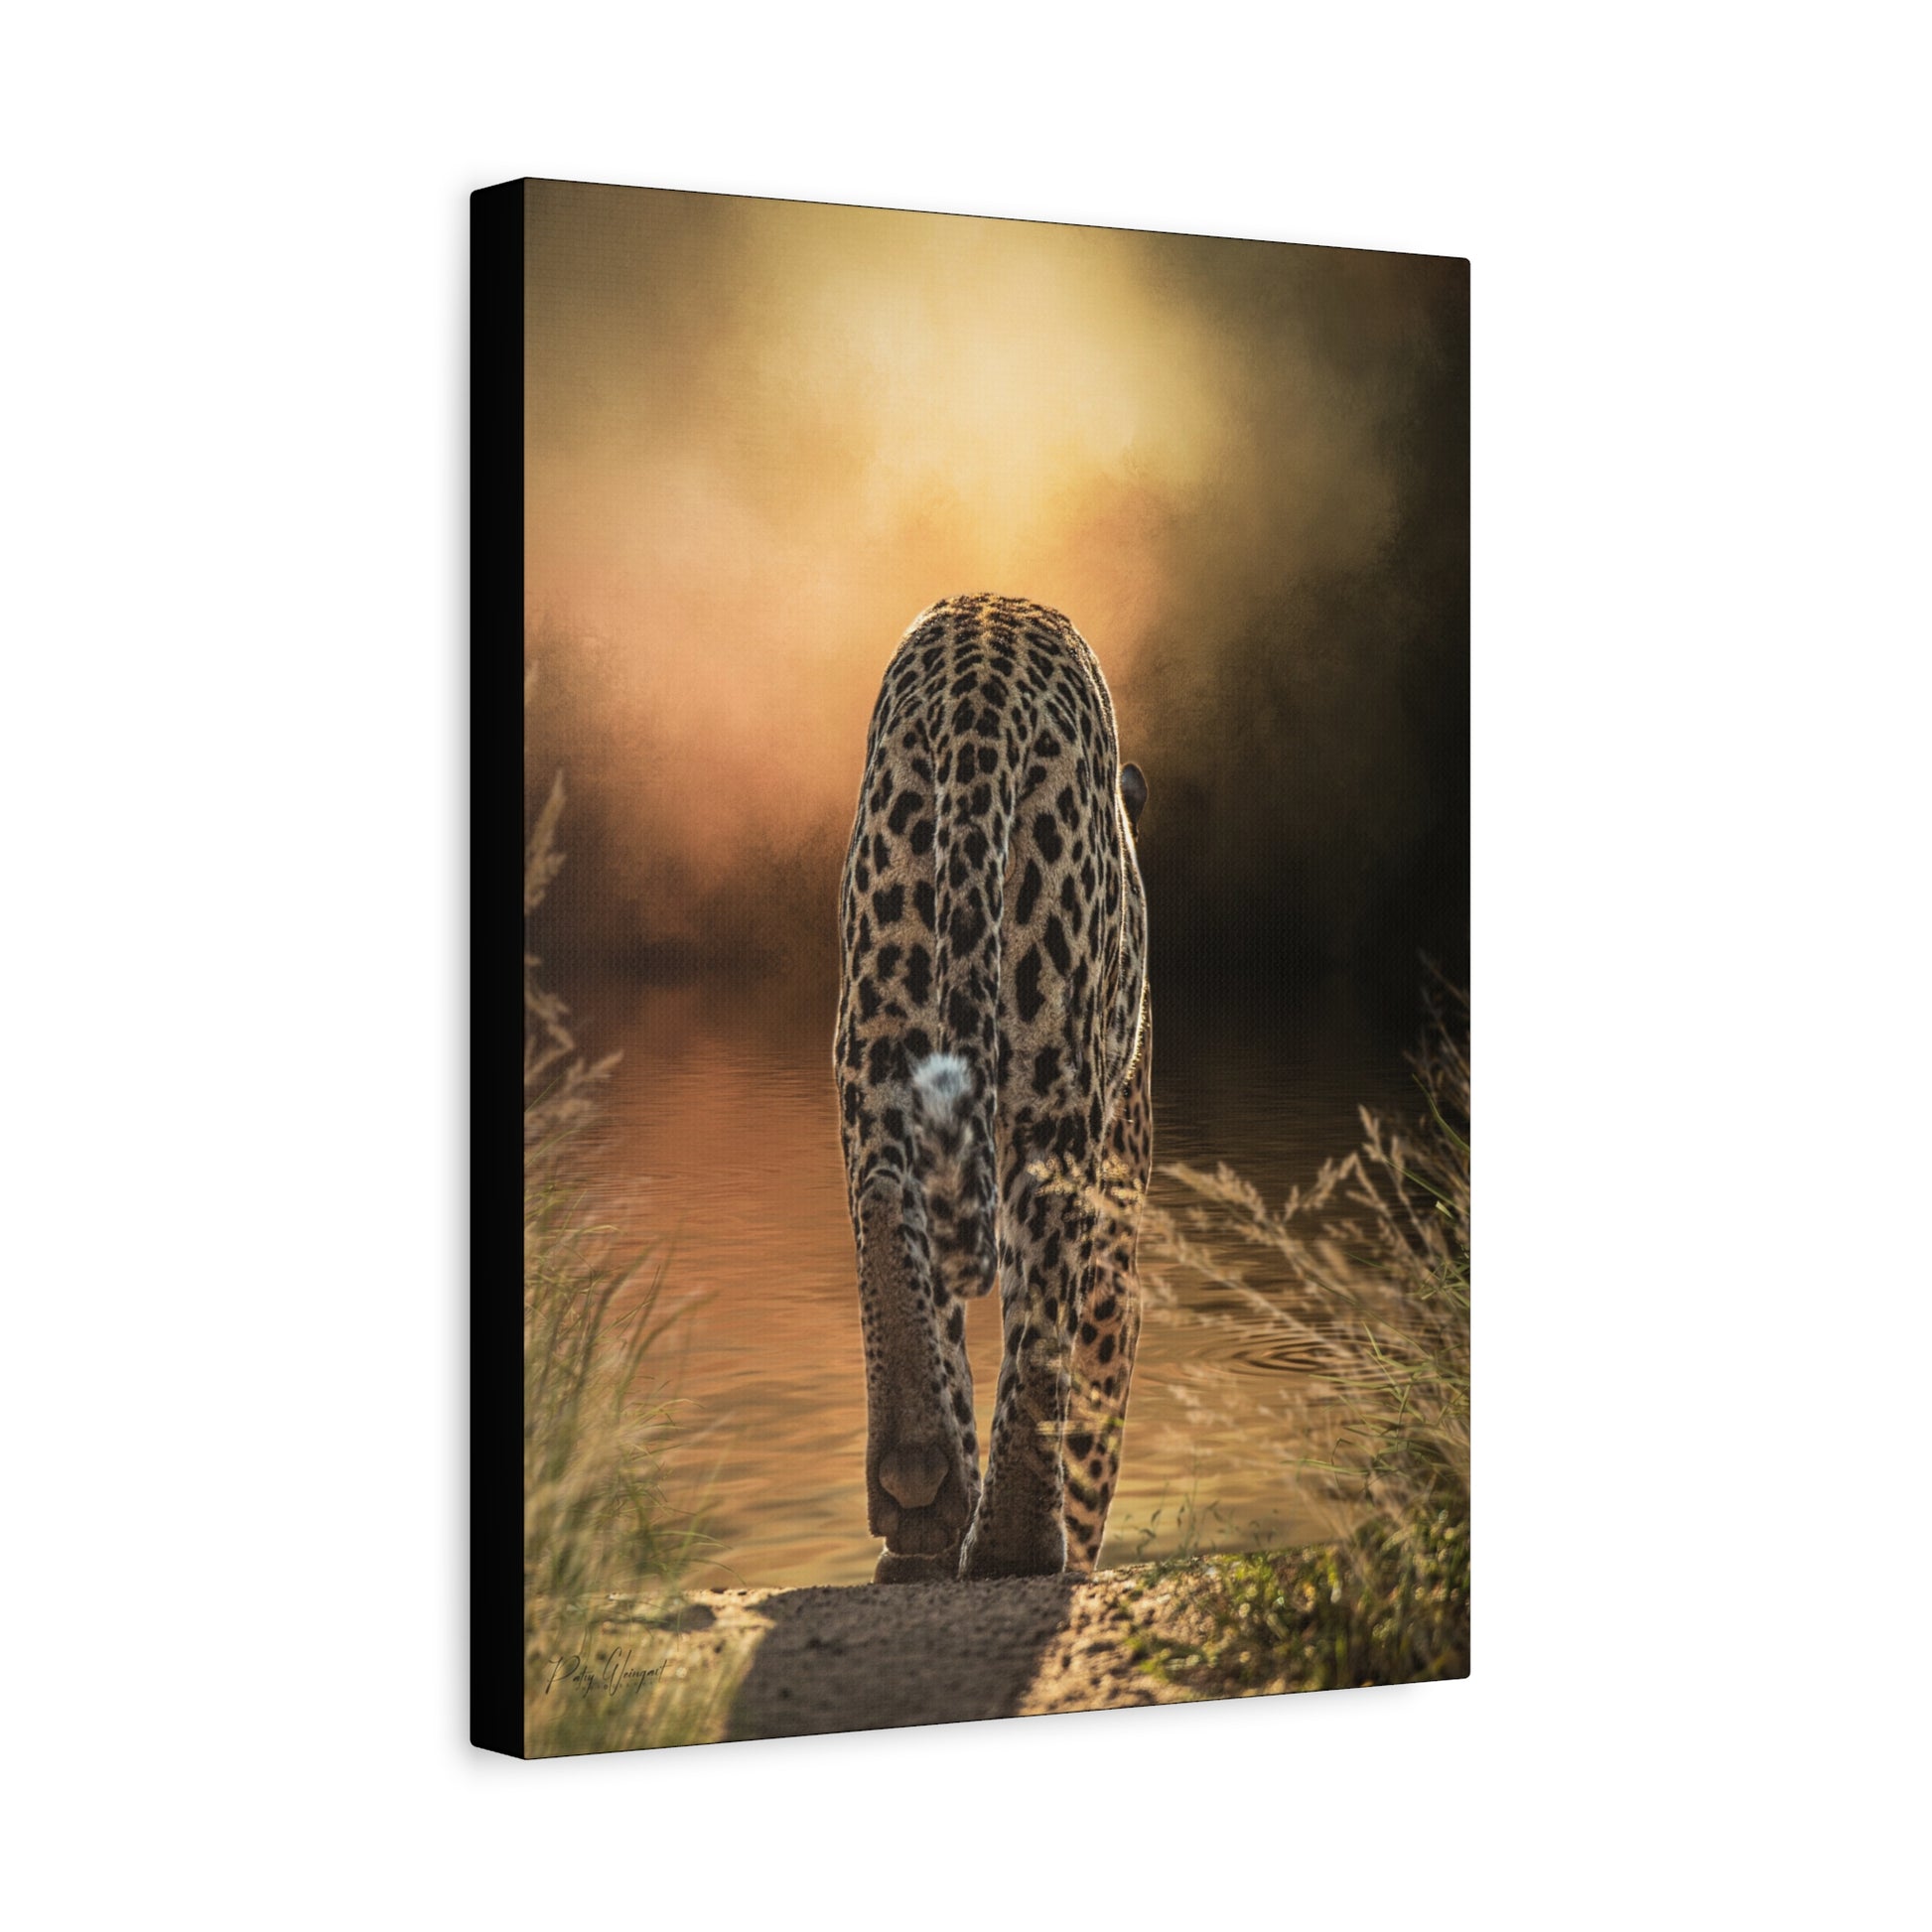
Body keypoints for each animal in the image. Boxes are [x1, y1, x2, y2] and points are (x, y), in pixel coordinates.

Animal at [833, 593, 1153, 1584]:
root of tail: (982, 669)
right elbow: (1095, 1390)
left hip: (880, 1009)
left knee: (885, 1202)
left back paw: (917, 1488)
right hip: (1059, 1079)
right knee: (1049, 1300)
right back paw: (1017, 1544)